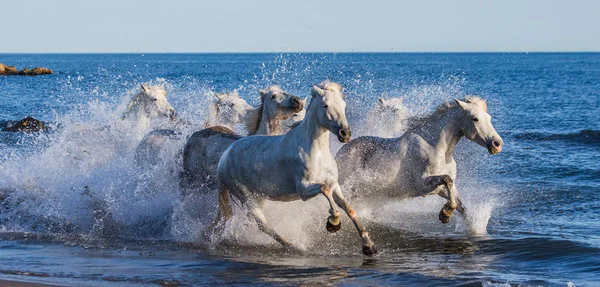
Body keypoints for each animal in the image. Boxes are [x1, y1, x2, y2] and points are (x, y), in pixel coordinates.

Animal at [214, 80, 376, 256]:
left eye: (343, 105)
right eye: (325, 105)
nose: (345, 133)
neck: (316, 151)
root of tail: (224, 155)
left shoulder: (335, 184)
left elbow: (349, 208)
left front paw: (369, 245)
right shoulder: (303, 189)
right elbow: (325, 190)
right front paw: (333, 222)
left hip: (259, 197)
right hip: (245, 196)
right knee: (264, 225)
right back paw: (295, 246)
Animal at [336, 97, 504, 225]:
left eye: (489, 118)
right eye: (475, 118)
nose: (497, 144)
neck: (439, 149)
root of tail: (339, 153)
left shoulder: (441, 189)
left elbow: (459, 203)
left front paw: (447, 215)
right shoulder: (421, 185)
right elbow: (446, 179)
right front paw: (445, 214)